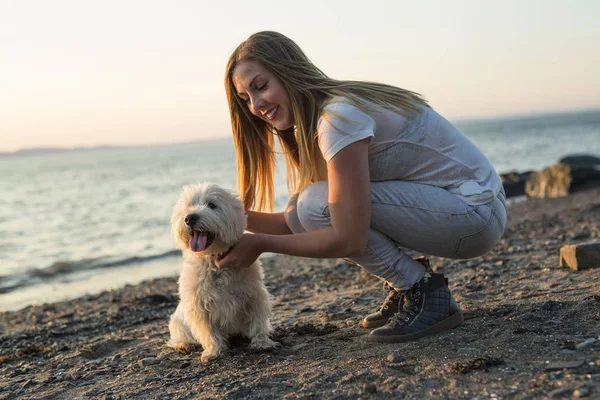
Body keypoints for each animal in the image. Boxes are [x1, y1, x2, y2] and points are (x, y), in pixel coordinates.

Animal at [168, 183, 278, 360]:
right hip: (177, 323)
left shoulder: (254, 295)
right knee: (179, 335)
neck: (212, 259)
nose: (190, 218)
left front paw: (262, 342)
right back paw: (183, 345)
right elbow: (208, 331)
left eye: (212, 205)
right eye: (188, 205)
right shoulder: (199, 306)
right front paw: (214, 351)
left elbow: (258, 321)